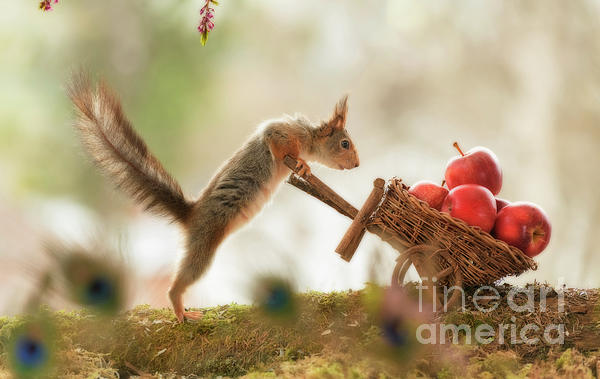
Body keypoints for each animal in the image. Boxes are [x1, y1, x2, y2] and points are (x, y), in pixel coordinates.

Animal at [69, 75, 360, 324]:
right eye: (345, 143)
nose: (357, 164)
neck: (308, 137)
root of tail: (191, 214)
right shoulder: (281, 132)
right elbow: (276, 142)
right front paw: (302, 165)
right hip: (204, 244)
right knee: (180, 282)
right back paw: (180, 310)